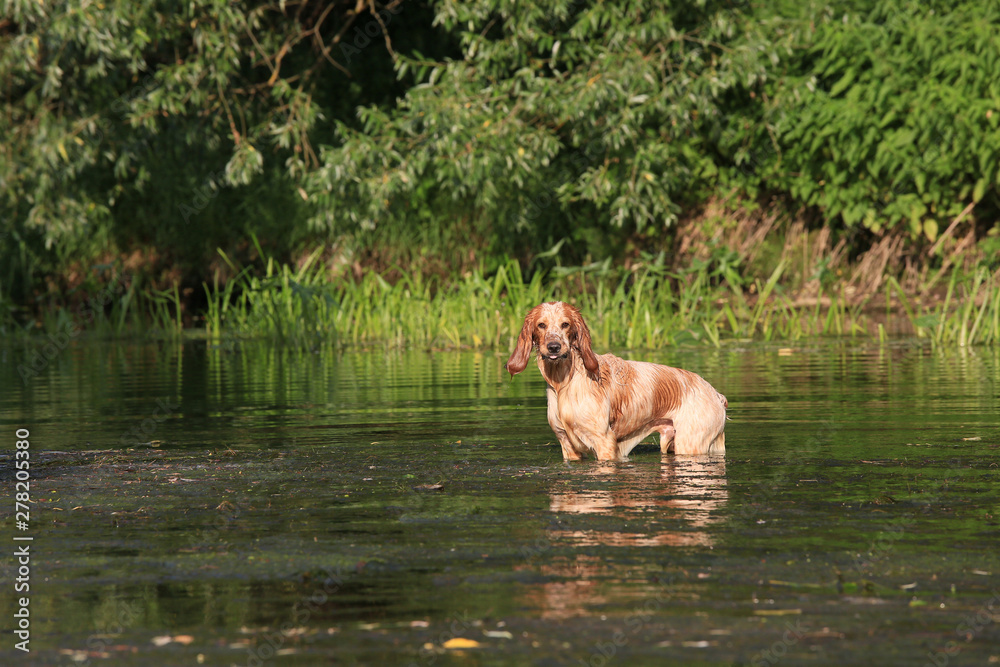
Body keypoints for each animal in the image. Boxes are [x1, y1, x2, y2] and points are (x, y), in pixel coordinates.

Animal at [508, 302, 728, 460]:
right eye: (541, 325)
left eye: (565, 324)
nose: (554, 347)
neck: (564, 383)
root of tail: (715, 393)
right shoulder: (566, 443)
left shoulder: (604, 440)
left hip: (689, 443)